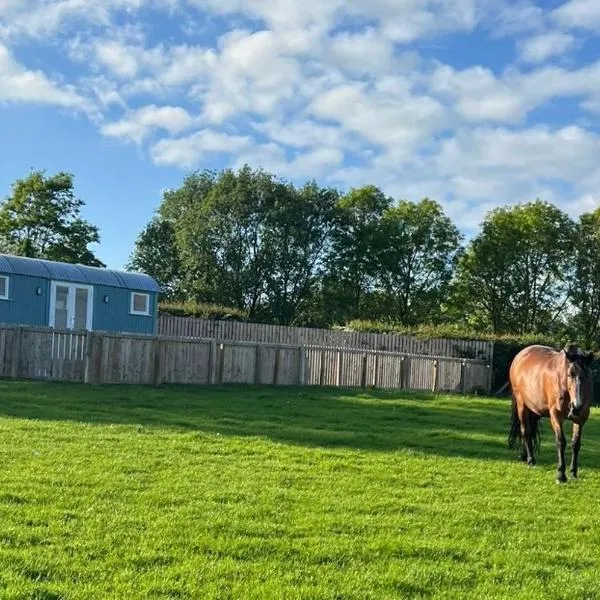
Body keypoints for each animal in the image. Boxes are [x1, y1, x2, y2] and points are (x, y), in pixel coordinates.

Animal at [506, 342, 596, 482]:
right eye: (569, 374)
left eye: (587, 375)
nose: (576, 406)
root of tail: (520, 355)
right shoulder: (556, 416)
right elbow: (561, 442)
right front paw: (561, 475)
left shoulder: (581, 418)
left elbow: (576, 444)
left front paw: (573, 473)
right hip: (522, 405)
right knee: (525, 431)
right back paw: (530, 460)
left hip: (535, 410)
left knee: (530, 430)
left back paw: (524, 456)